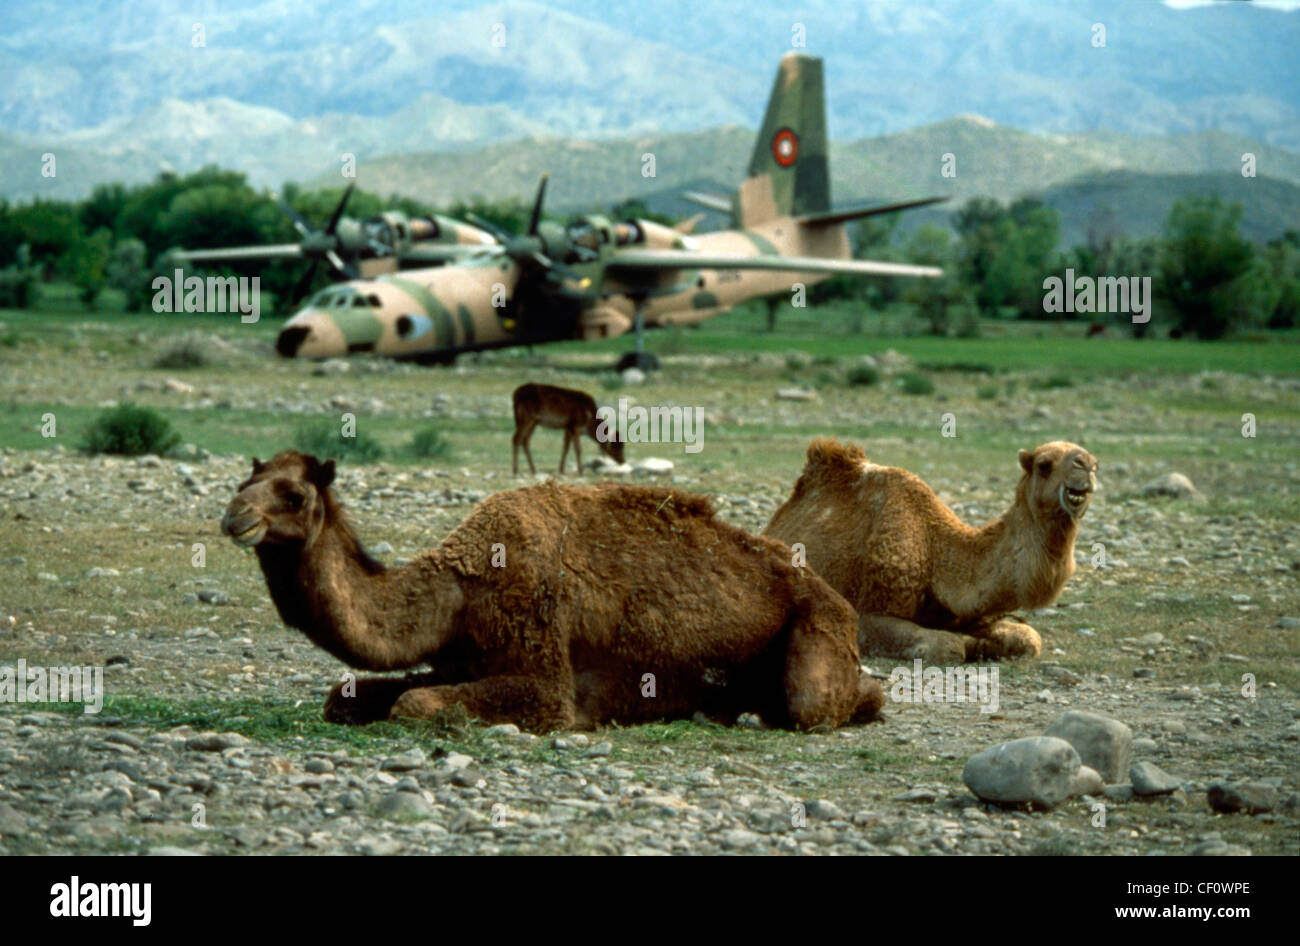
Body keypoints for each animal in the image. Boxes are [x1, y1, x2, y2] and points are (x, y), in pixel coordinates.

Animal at [222, 450, 882, 732]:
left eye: (295, 495)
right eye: (243, 481)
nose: (235, 518)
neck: (459, 588)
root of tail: (838, 600)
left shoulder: (546, 682)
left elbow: (413, 705)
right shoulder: (457, 660)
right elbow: (344, 694)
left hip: (819, 628)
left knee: (823, 703)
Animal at [764, 439, 1098, 664]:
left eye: (1092, 463)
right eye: (1044, 465)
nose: (1087, 464)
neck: (937, 552)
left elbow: (1030, 639)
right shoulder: (870, 610)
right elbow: (949, 647)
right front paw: (970, 645)